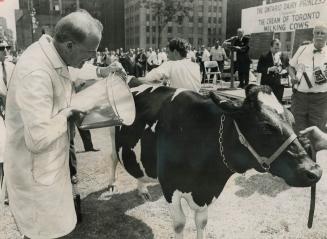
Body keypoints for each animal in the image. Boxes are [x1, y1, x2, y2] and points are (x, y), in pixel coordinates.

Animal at [107, 79, 320, 239]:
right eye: (265, 126)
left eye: (292, 120)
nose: (314, 171)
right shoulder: (169, 187)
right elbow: (179, 224)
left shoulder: (207, 191)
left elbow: (201, 222)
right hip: (110, 133)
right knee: (112, 157)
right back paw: (111, 185)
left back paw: (142, 189)